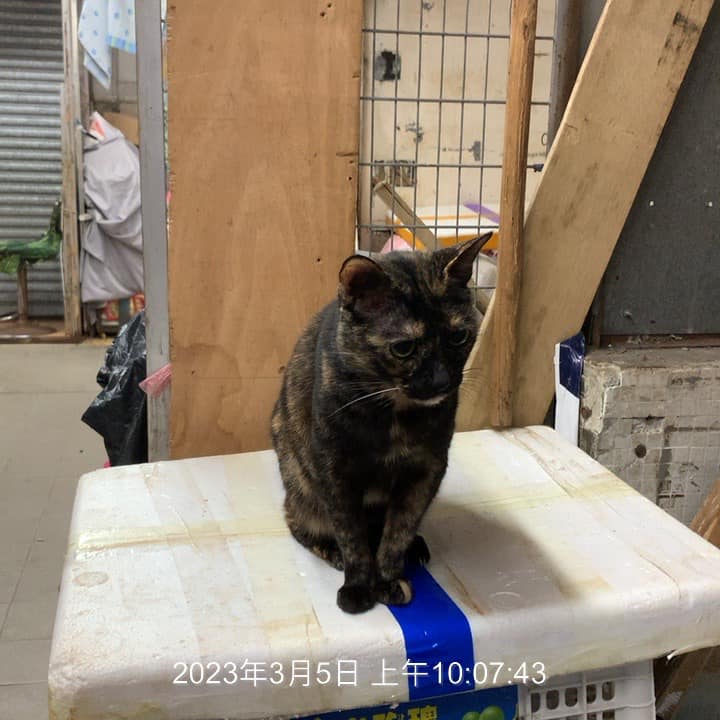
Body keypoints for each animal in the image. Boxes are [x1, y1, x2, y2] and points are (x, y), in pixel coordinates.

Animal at [271, 234, 491, 614]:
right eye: (403, 348)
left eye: (458, 337)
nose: (442, 380)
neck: (396, 416)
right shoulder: (336, 473)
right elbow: (352, 536)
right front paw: (359, 586)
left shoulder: (426, 470)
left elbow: (398, 530)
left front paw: (388, 578)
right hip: (302, 484)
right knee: (299, 521)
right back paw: (331, 551)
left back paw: (415, 548)